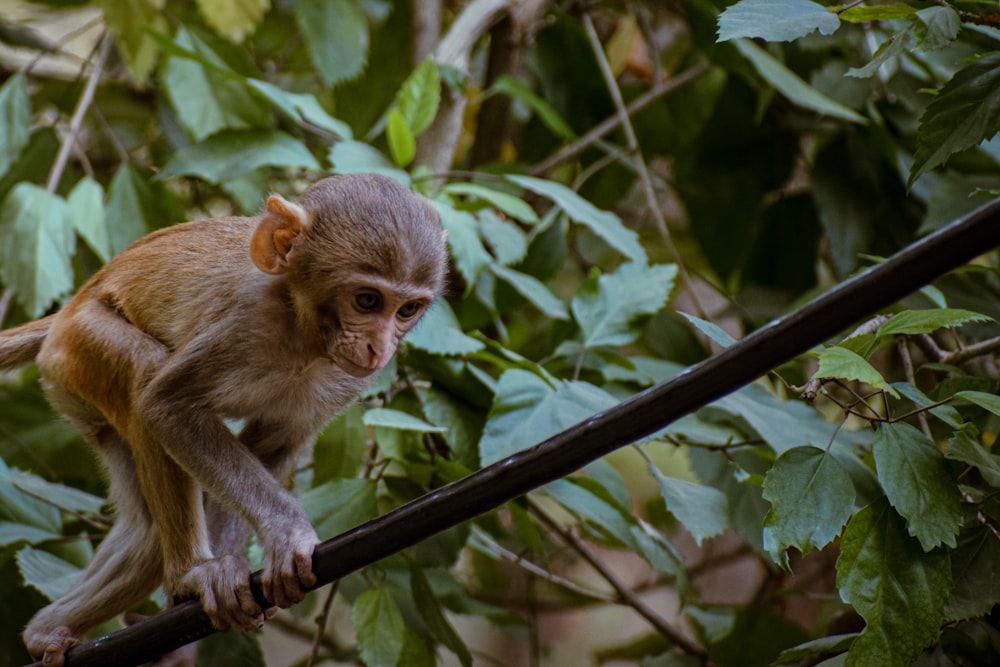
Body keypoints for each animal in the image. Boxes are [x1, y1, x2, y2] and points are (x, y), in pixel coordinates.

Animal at [0, 174, 446, 667]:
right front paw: (286, 533)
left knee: (146, 535)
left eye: (407, 310)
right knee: (142, 372)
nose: (379, 348)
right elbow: (165, 406)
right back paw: (191, 574)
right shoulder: (245, 323)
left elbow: (274, 444)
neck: (302, 332)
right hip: (83, 341)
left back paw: (48, 628)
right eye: (367, 300)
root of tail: (68, 310)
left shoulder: (346, 381)